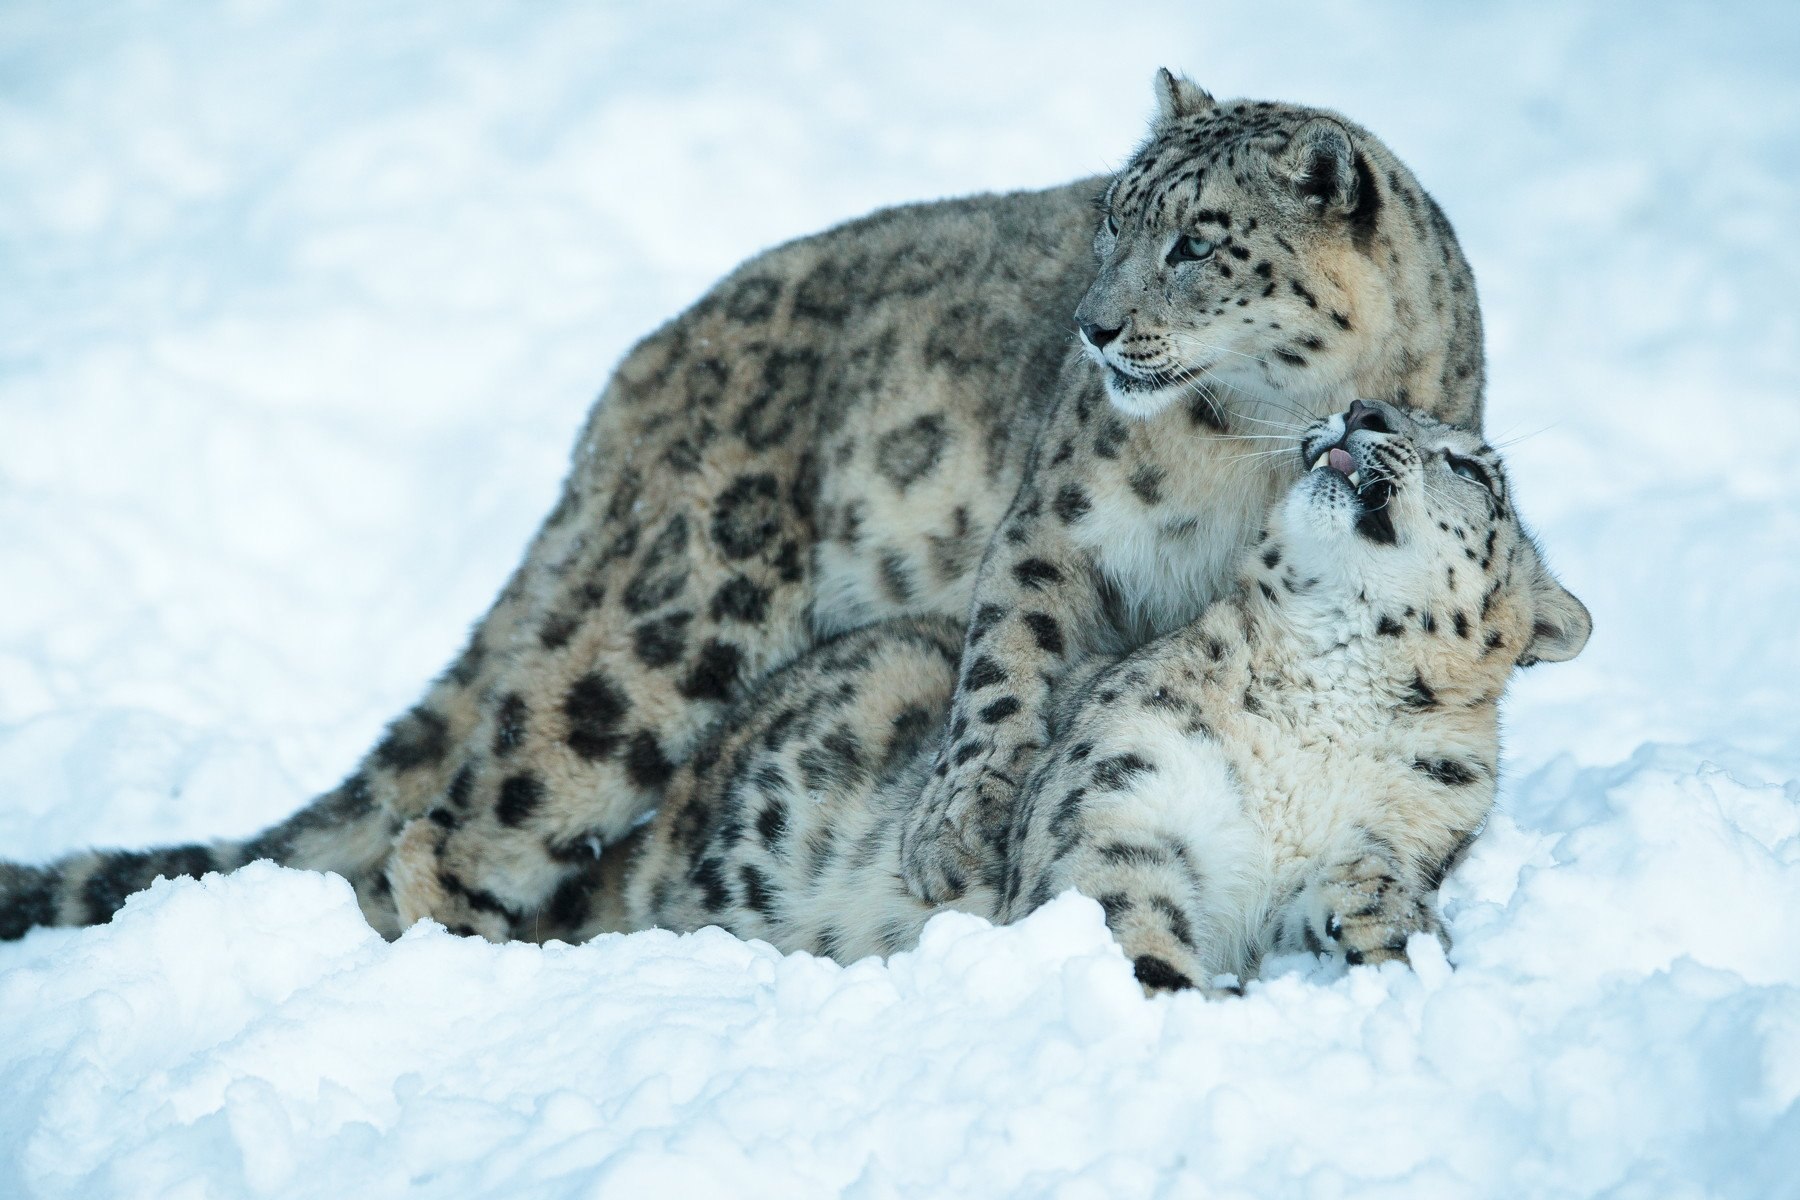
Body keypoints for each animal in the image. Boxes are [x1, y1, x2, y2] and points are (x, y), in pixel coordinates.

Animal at [0, 72, 1483, 949]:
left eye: (1196, 241)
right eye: (1114, 216)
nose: (1096, 323)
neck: (1247, 453)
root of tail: (636, 376)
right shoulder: (1060, 526)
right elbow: (1007, 672)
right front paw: (958, 827)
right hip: (674, 620)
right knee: (461, 824)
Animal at [608, 406, 1591, 993]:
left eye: (1474, 467)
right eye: (1364, 401)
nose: (1362, 413)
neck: (1326, 704)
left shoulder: (1393, 833)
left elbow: (1371, 883)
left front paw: (1402, 943)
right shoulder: (1125, 792)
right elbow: (1123, 906)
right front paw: (1182, 995)